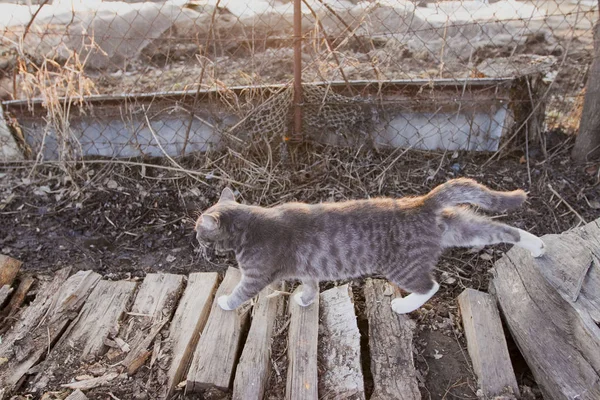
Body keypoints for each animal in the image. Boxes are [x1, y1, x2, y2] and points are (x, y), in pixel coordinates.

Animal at [195, 177, 548, 312]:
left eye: (199, 227)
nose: (194, 237)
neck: (251, 223)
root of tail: (421, 202)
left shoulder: (256, 274)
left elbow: (242, 290)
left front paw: (225, 302)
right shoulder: (307, 268)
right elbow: (310, 284)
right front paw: (306, 299)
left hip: (403, 268)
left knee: (430, 286)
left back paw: (404, 305)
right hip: (460, 228)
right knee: (502, 229)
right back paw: (538, 246)